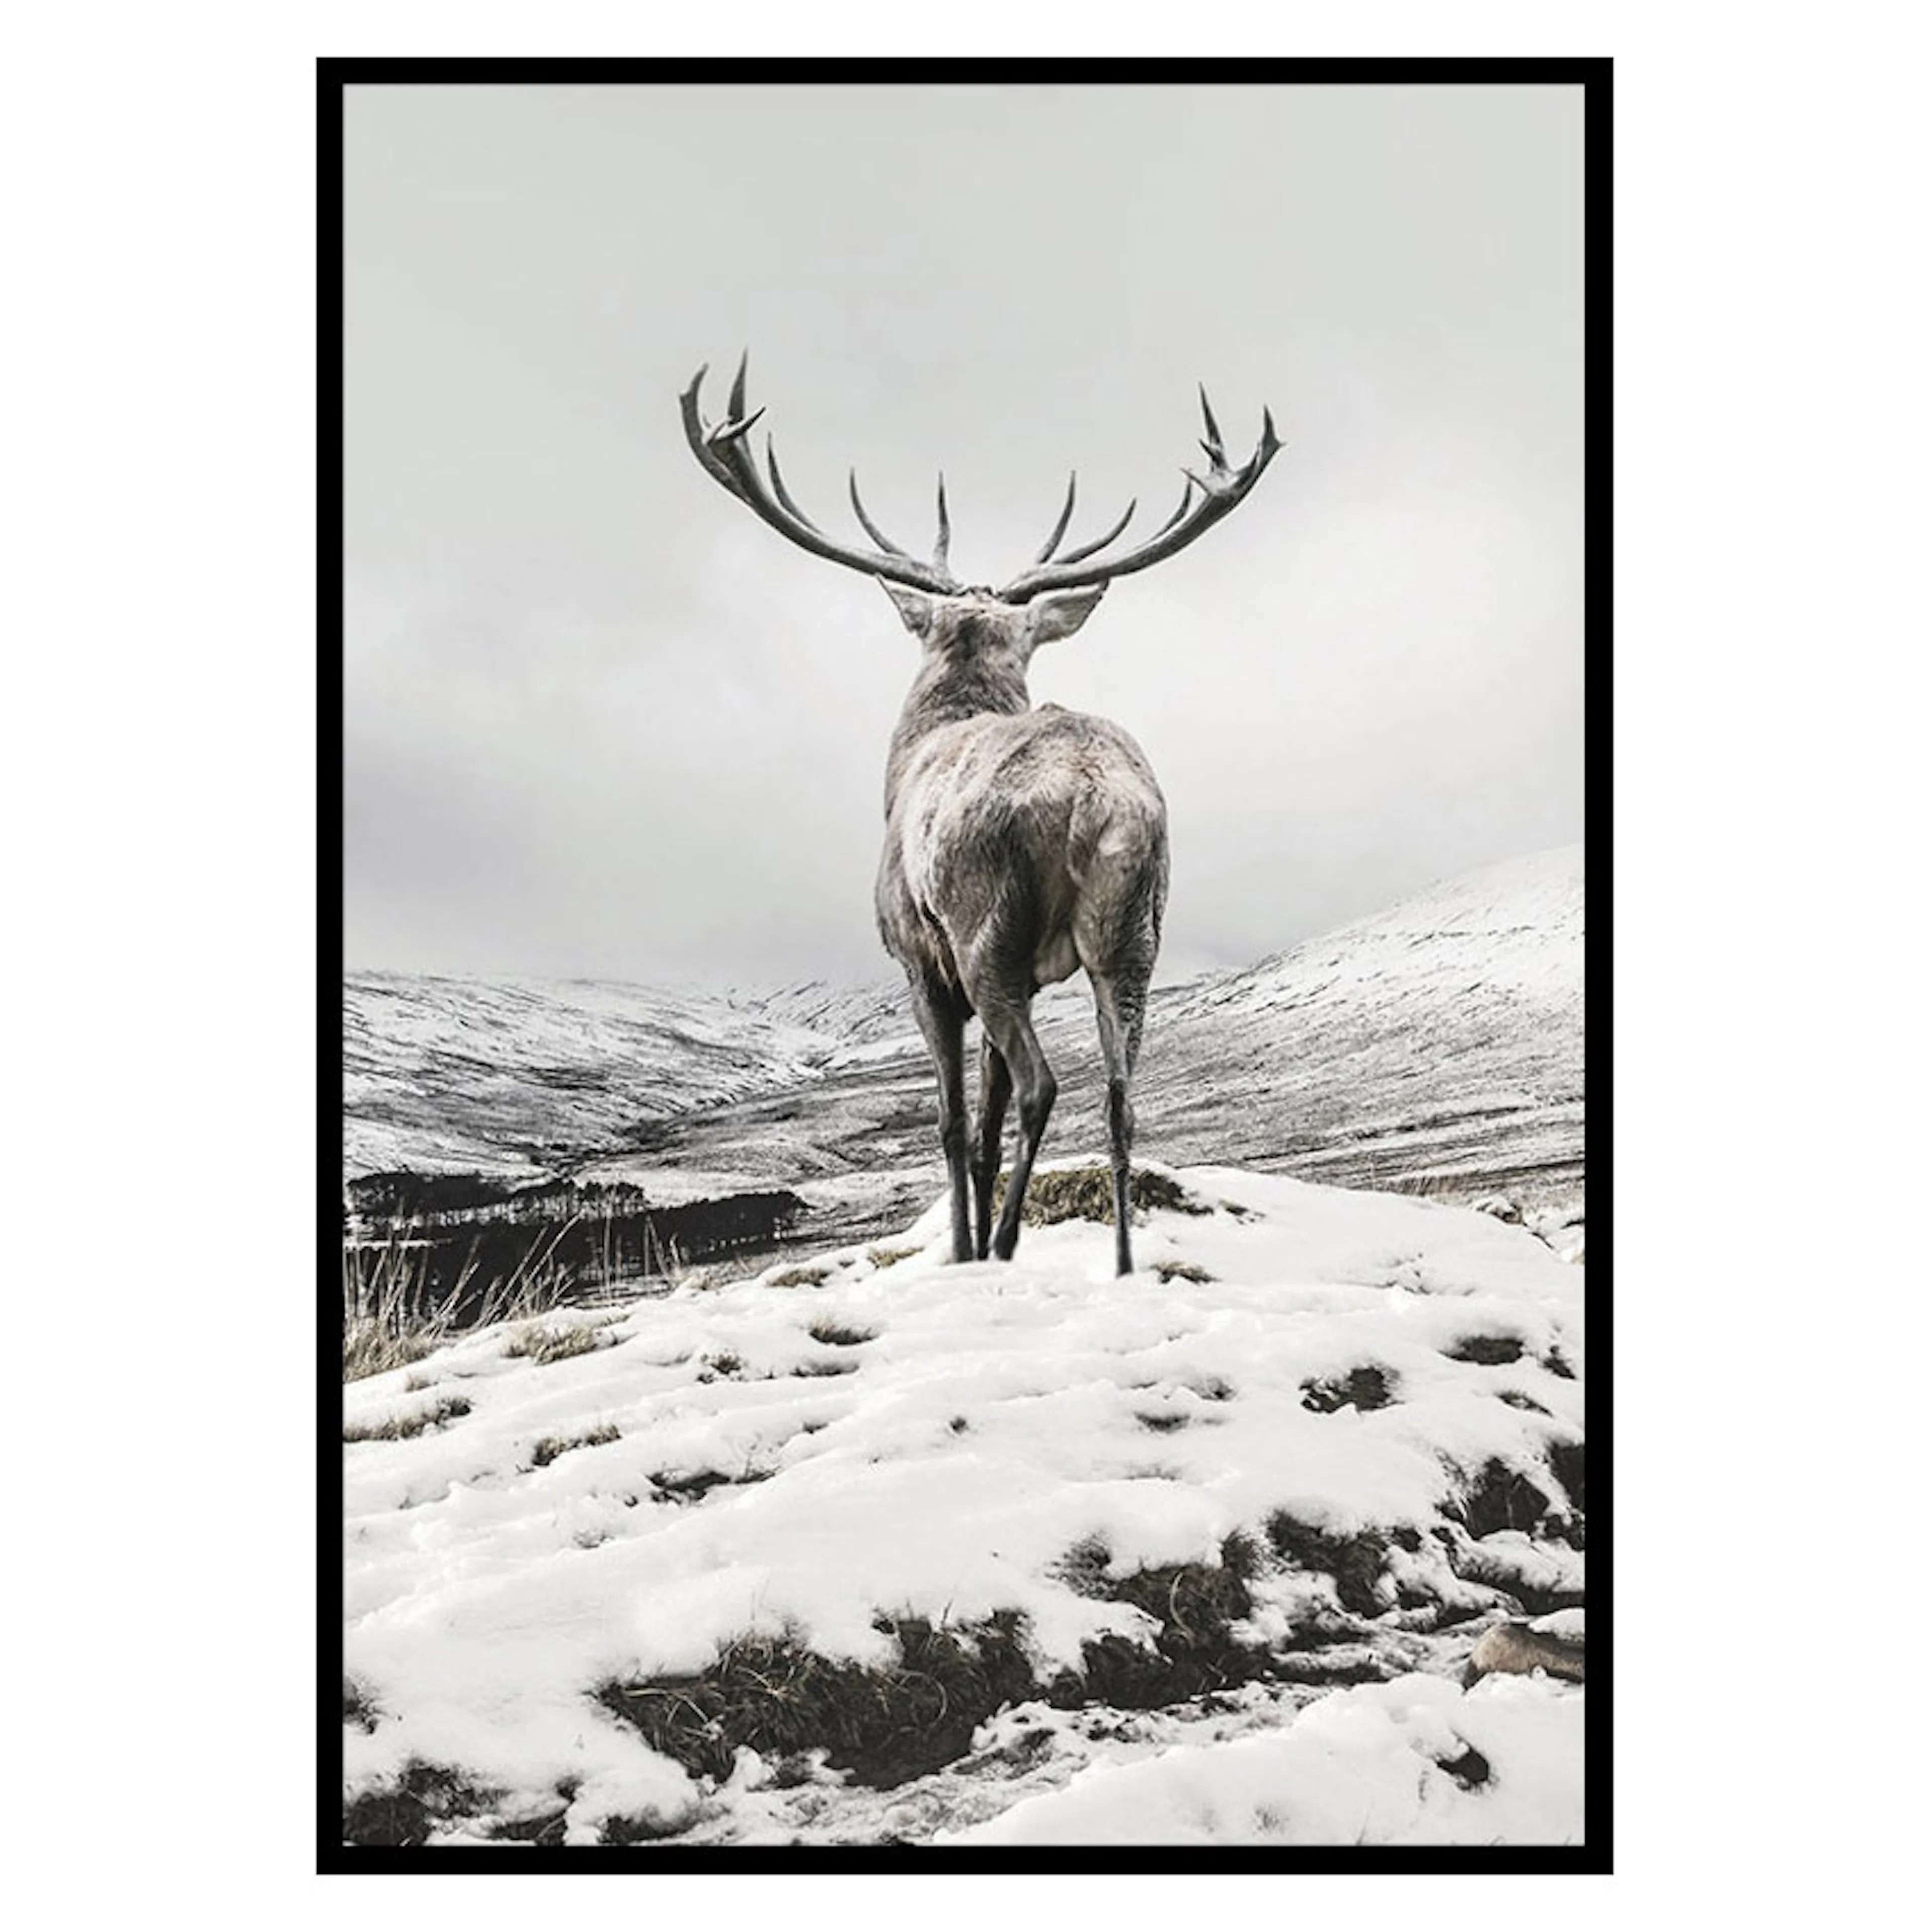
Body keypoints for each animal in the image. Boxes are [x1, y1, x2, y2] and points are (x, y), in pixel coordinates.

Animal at [680, 355, 1279, 1276]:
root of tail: (1090, 796)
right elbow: (988, 1126)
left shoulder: (920, 963)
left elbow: (957, 1122)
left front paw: (961, 1250)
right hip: (1134, 931)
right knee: (1120, 1097)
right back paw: (1119, 1265)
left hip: (986, 928)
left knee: (1043, 1084)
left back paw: (1001, 1247)